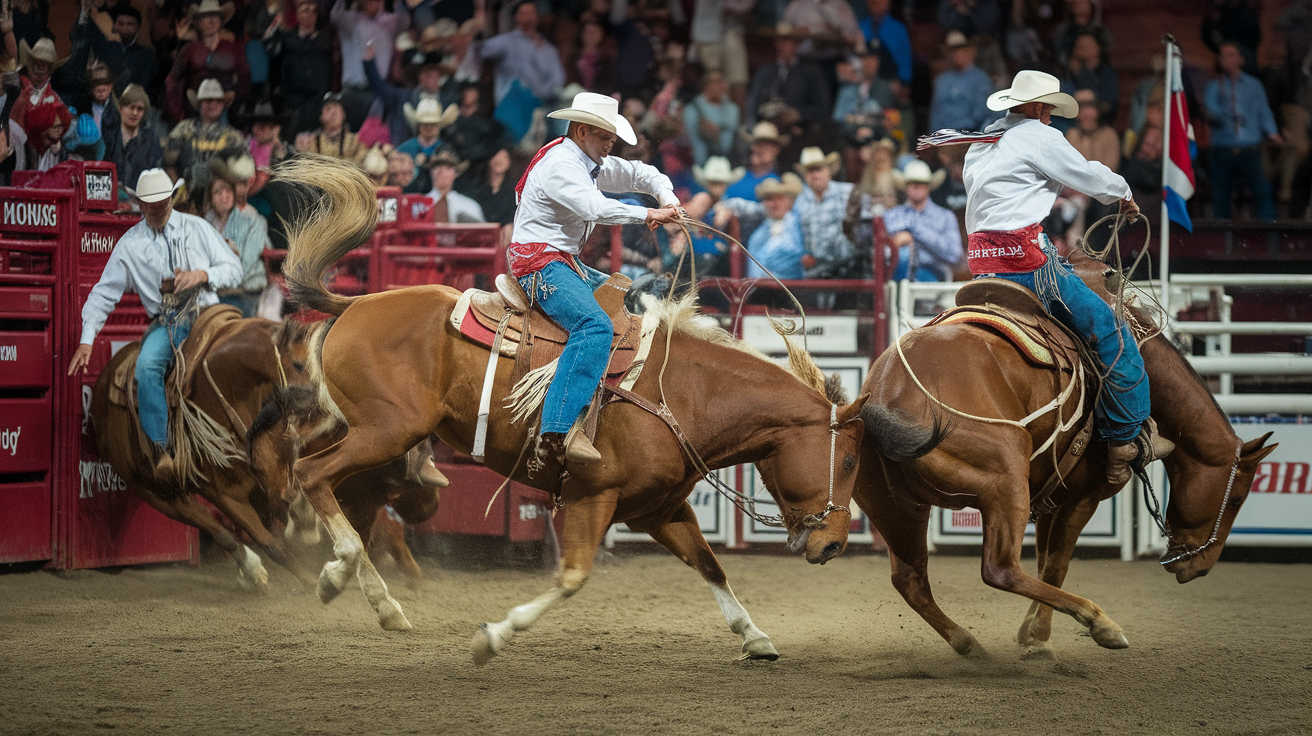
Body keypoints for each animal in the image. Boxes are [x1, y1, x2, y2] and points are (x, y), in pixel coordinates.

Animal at [278, 152, 871, 663]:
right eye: (847, 461)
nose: (834, 544)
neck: (685, 393)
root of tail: (357, 302)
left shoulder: (659, 507)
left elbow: (710, 565)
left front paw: (755, 636)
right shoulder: (593, 493)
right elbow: (573, 576)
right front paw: (493, 636)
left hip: (379, 438)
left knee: (343, 490)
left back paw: (370, 597)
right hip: (387, 431)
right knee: (313, 473)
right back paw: (344, 574)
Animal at [855, 249, 1275, 655]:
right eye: (1236, 499)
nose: (1198, 567)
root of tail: (887, 392)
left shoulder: (1051, 496)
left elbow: (1044, 561)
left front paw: (1030, 633)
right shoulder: (1083, 494)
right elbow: (1056, 565)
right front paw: (1039, 638)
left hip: (897, 505)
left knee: (911, 578)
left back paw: (968, 643)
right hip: (1006, 482)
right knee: (1000, 569)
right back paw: (1100, 622)